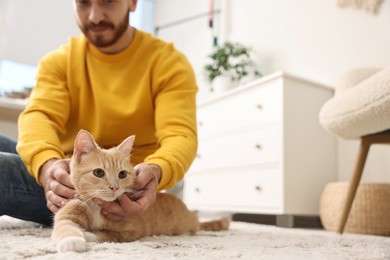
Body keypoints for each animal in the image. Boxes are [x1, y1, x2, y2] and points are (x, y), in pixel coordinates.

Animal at [51, 130, 229, 252]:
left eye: (122, 174)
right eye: (98, 172)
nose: (114, 187)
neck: (98, 208)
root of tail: (190, 214)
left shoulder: (131, 231)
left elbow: (108, 235)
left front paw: (87, 234)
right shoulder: (72, 207)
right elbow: (64, 225)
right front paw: (71, 239)